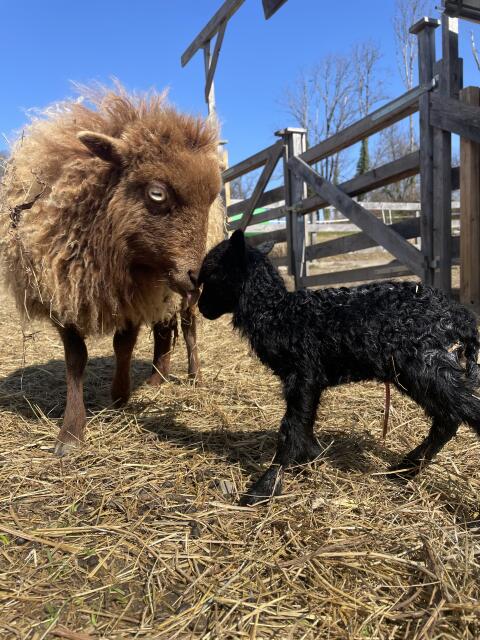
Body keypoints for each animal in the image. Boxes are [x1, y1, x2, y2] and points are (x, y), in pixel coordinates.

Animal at [0, 85, 224, 456]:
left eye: (210, 200)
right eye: (157, 193)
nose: (198, 275)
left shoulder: (132, 294)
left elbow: (123, 345)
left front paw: (120, 395)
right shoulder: (63, 294)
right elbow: (76, 359)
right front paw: (71, 433)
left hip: (180, 296)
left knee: (188, 329)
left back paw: (194, 376)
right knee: (164, 332)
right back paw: (157, 378)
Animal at [198, 230, 480, 505]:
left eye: (211, 274)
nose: (201, 309)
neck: (278, 313)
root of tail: (460, 318)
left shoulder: (302, 374)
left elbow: (290, 429)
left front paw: (263, 488)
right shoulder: (312, 380)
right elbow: (304, 425)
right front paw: (314, 458)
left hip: (425, 366)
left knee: (460, 413)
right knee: (447, 419)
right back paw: (402, 471)